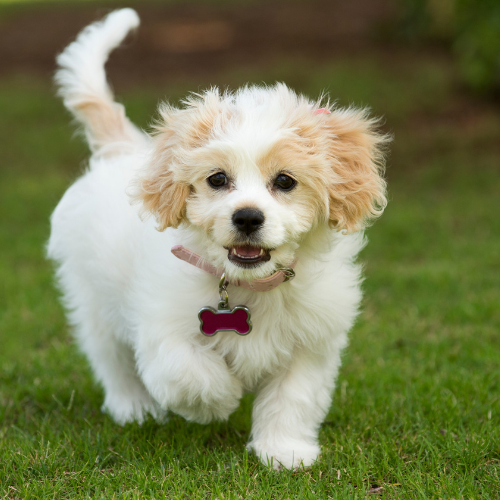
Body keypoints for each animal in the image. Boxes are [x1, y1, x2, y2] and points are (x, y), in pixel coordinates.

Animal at [47, 6, 386, 468]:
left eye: (285, 180)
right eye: (217, 179)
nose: (247, 217)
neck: (250, 286)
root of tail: (123, 150)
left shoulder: (311, 343)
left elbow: (293, 397)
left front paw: (284, 451)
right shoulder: (162, 328)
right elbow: (189, 374)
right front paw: (222, 400)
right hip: (93, 300)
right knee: (111, 359)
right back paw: (133, 407)